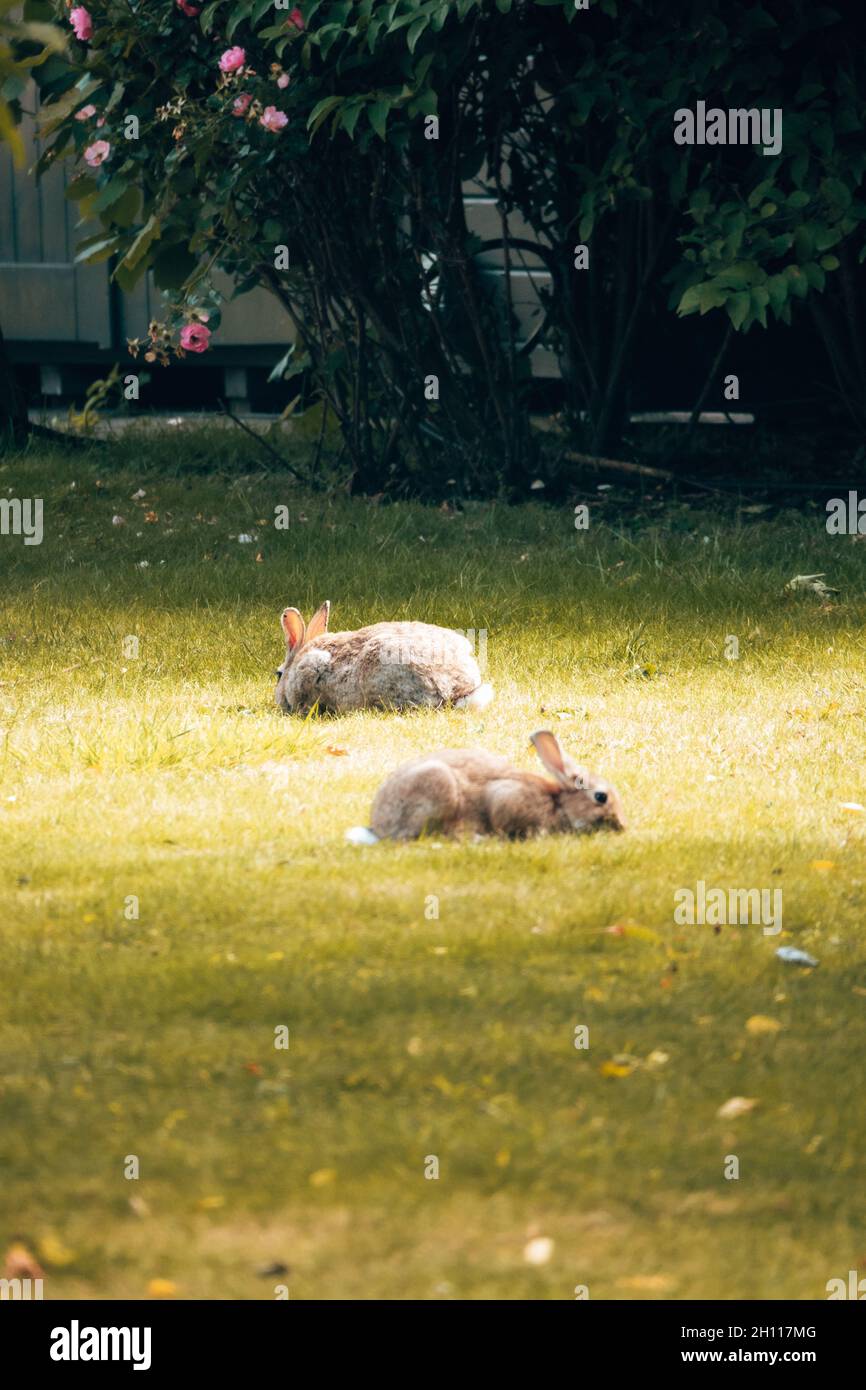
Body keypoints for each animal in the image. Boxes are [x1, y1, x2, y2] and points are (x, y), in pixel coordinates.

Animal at [346, 729, 626, 843]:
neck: (559, 805)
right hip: (439, 789)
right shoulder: (504, 798)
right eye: (601, 797)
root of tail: (378, 827)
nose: (622, 826)